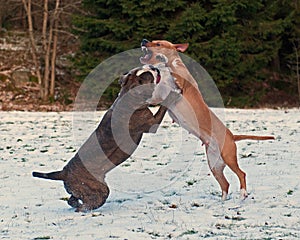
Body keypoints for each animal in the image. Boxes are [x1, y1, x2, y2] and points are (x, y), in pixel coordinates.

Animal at [141, 39, 274, 201]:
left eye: (158, 44)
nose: (144, 41)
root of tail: (232, 136)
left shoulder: (180, 84)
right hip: (214, 164)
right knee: (225, 184)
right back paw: (223, 201)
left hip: (228, 156)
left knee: (241, 174)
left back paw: (243, 193)